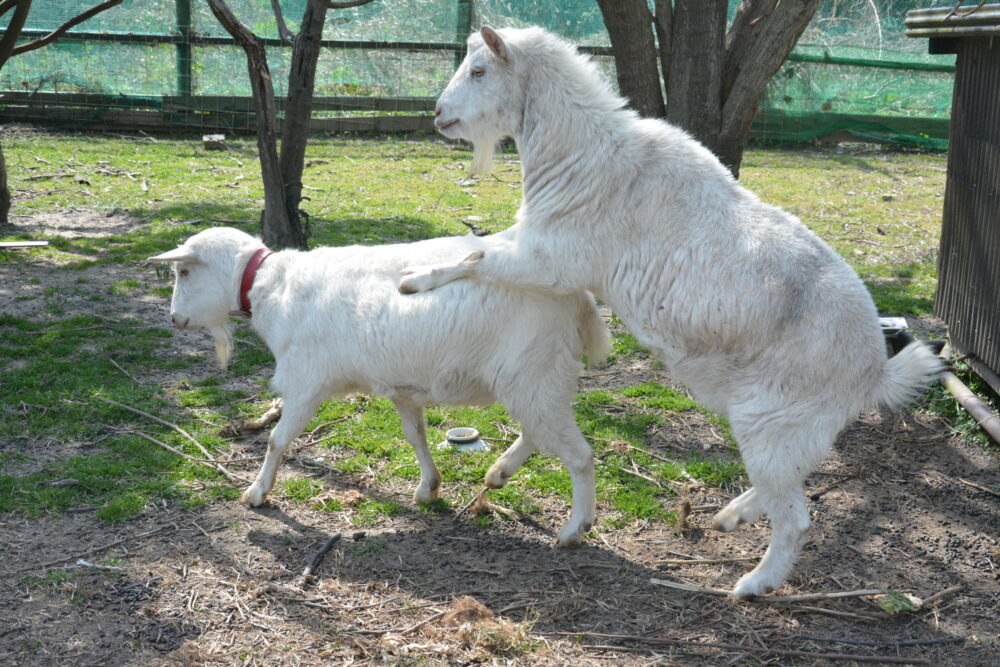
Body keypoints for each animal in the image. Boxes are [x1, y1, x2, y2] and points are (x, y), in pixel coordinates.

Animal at [148, 227, 608, 544]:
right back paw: (500, 472)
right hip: (534, 378)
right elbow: (415, 435)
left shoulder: (305, 381)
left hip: (533, 373)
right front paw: (428, 487)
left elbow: (278, 439)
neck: (270, 287)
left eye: (184, 270)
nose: (174, 319)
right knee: (538, 432)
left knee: (579, 454)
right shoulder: (403, 387)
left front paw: (257, 492)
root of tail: (579, 298)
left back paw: (574, 528)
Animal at [398, 27, 944, 600]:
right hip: (785, 423)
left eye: (479, 70)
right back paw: (731, 517)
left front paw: (414, 279)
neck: (587, 154)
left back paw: (753, 583)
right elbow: (480, 248)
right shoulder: (540, 246)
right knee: (788, 480)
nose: (439, 114)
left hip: (775, 419)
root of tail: (873, 371)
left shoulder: (554, 259)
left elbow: (476, 256)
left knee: (794, 516)